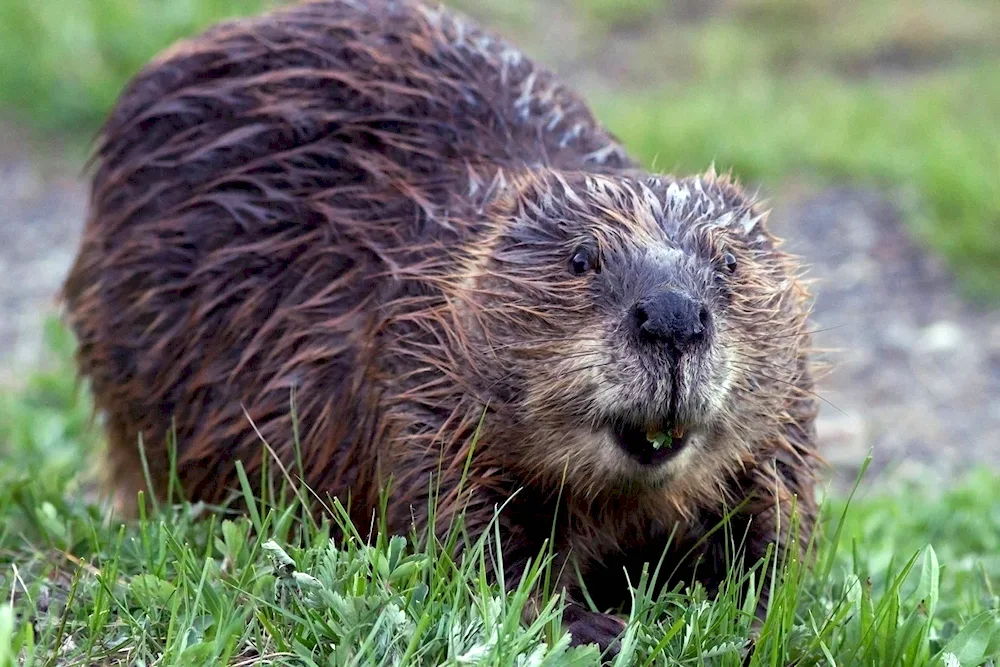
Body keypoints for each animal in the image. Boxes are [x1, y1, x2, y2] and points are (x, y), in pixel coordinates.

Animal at [62, 0, 820, 656]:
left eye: (729, 260)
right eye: (581, 258)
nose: (671, 317)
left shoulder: (785, 420)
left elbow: (778, 524)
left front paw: (753, 618)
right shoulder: (411, 377)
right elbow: (461, 535)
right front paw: (595, 626)